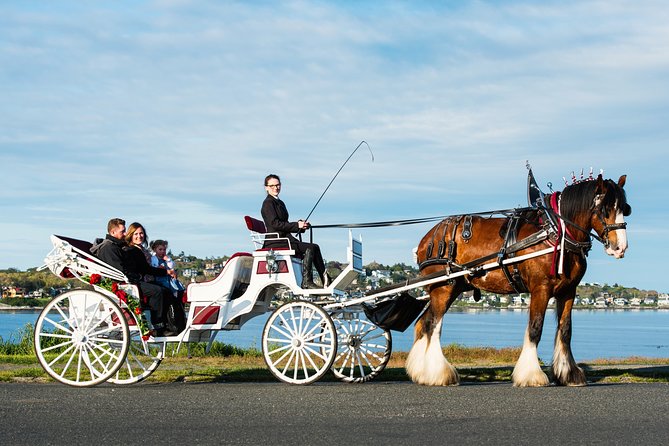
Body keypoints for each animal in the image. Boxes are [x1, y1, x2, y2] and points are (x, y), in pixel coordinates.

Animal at [408, 172, 632, 386]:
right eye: (605, 209)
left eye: (625, 208)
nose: (620, 247)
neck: (555, 233)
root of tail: (427, 239)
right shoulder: (540, 289)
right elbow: (535, 328)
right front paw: (531, 375)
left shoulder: (568, 291)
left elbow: (565, 331)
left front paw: (569, 374)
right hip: (444, 288)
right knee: (433, 325)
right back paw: (438, 374)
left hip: (451, 288)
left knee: (423, 323)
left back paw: (421, 372)